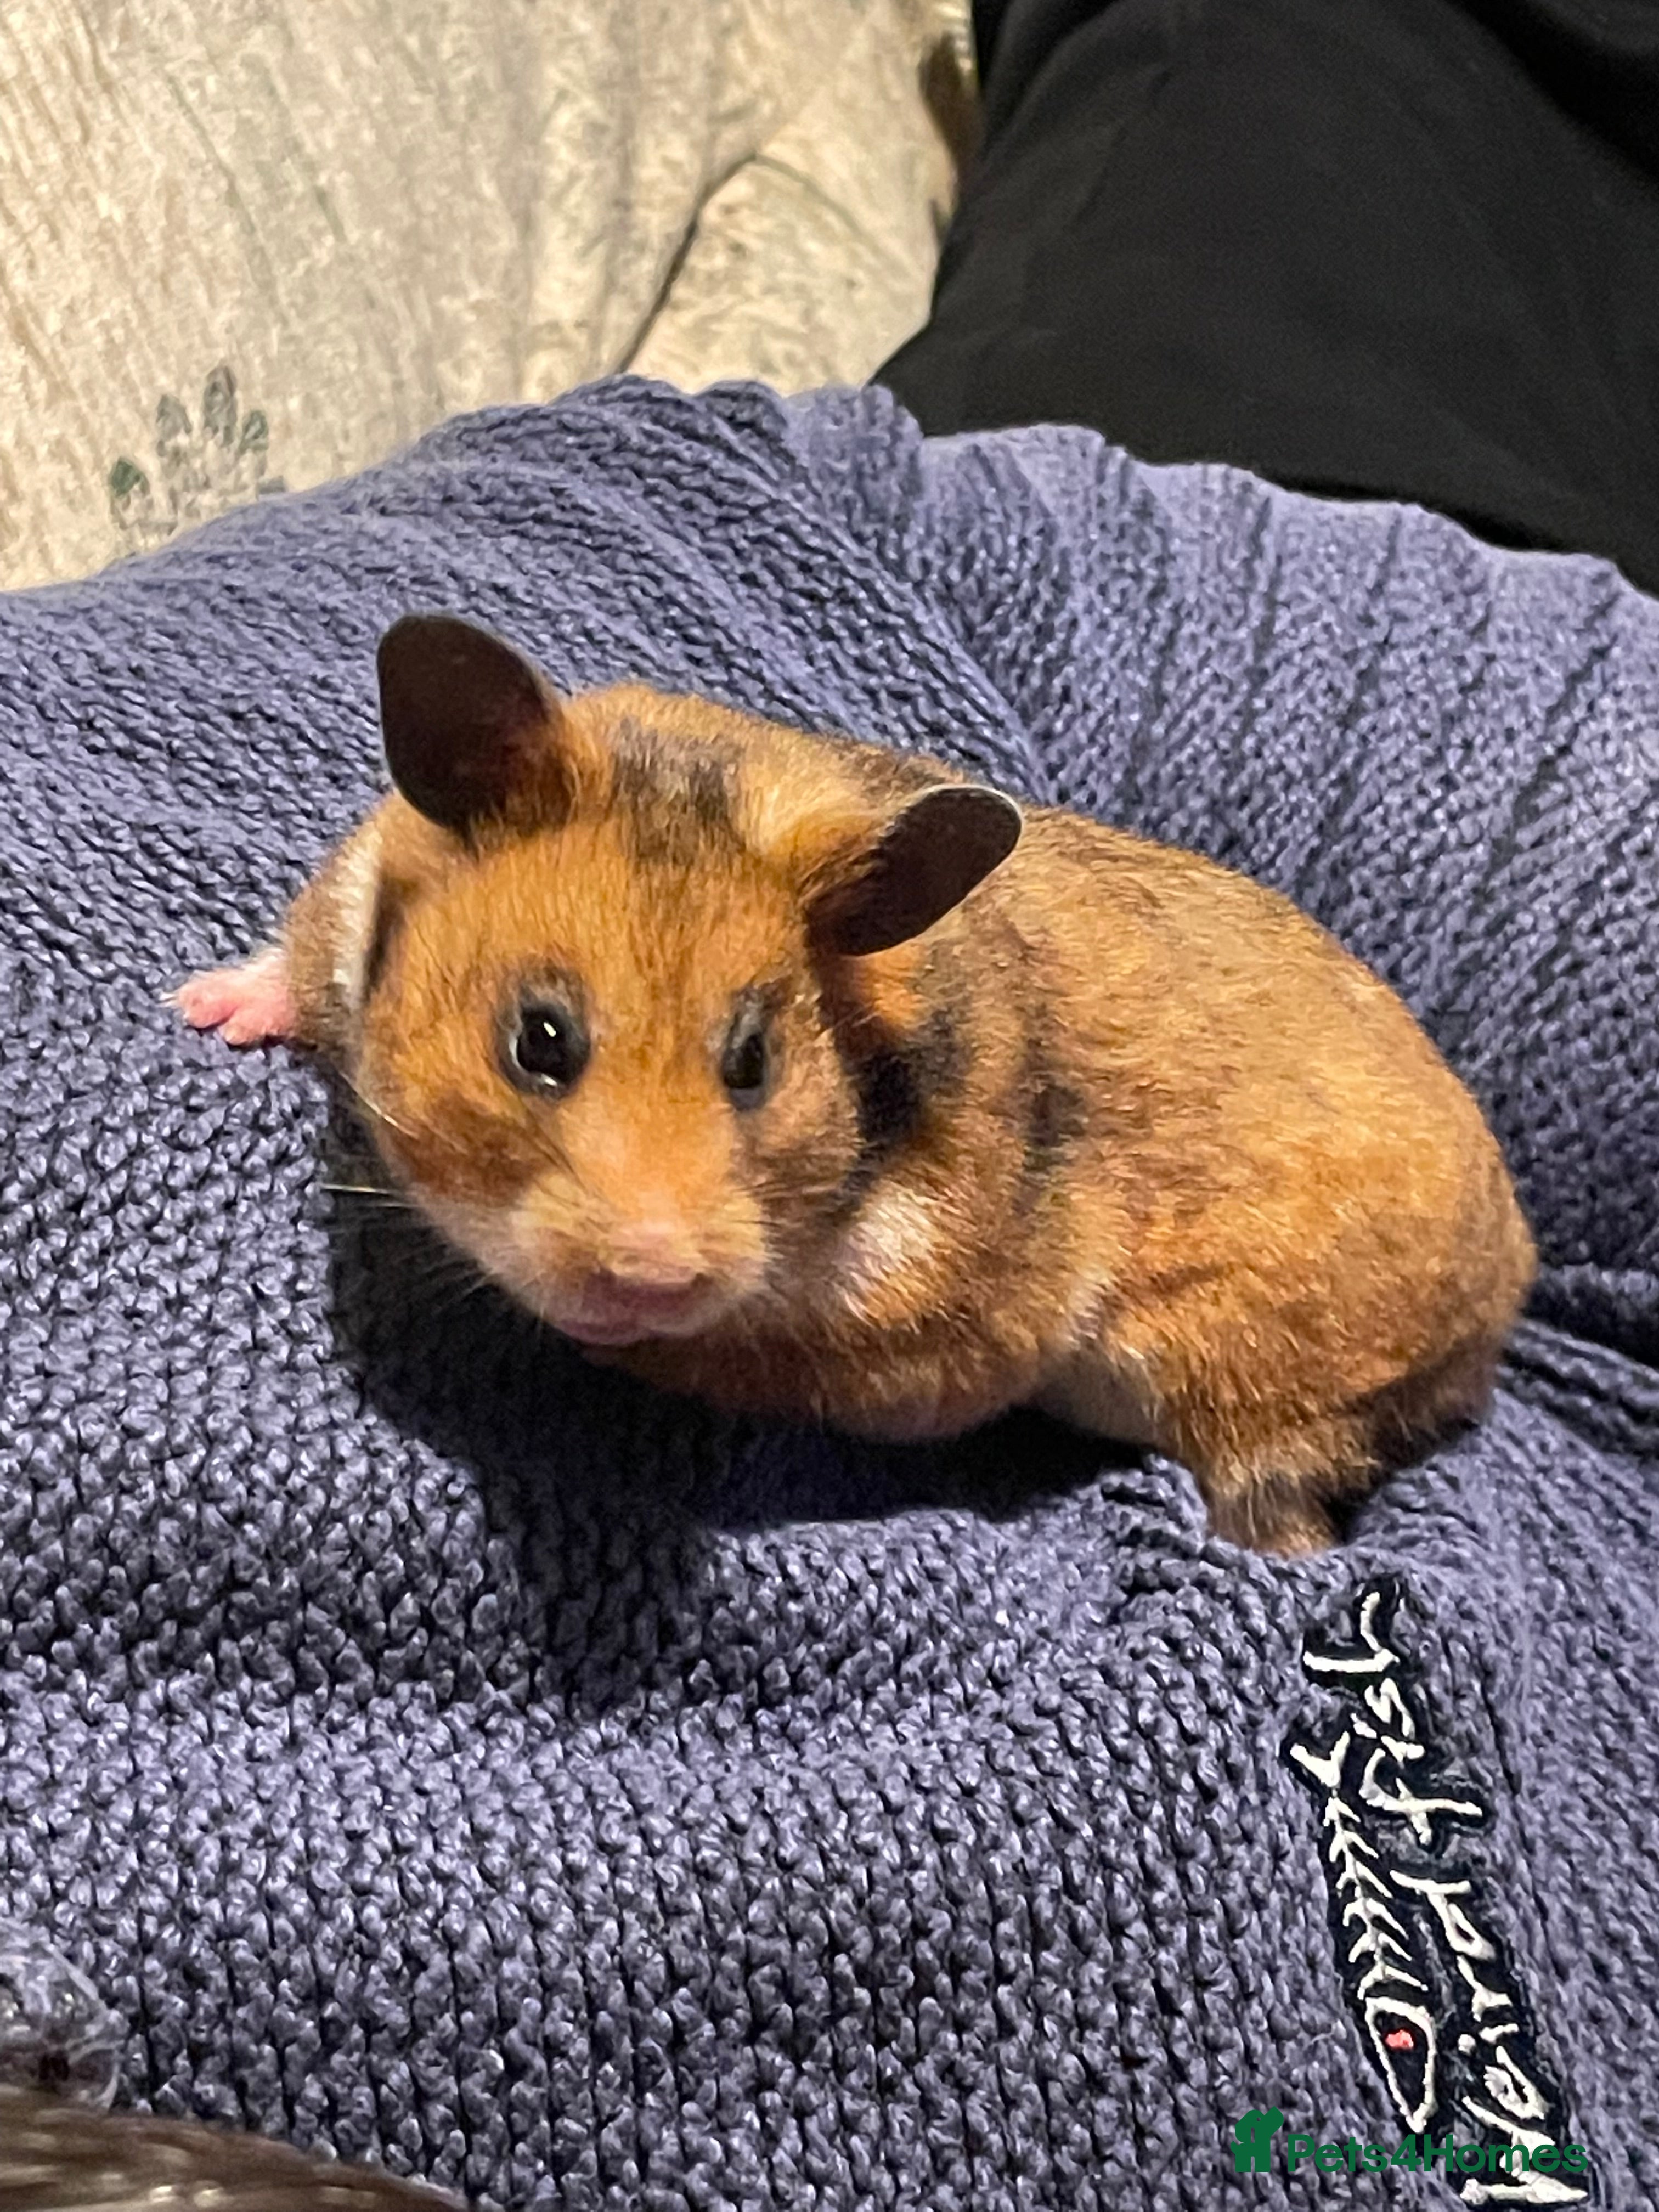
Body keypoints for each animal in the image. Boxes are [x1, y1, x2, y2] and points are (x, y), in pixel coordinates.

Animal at [175, 613, 1536, 1553]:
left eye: (754, 1062)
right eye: (539, 1041)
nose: (654, 1272)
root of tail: (1510, 1283)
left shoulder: (933, 1354)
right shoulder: (359, 877)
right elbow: (297, 958)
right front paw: (198, 1008)